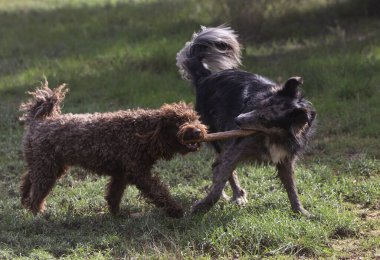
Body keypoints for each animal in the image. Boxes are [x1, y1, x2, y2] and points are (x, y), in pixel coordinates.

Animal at [177, 25, 316, 217]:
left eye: (264, 119)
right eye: (260, 105)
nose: (237, 120)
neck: (273, 137)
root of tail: (205, 78)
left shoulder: (285, 159)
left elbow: (292, 188)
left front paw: (300, 211)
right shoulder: (236, 149)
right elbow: (219, 182)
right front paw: (203, 206)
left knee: (217, 165)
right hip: (220, 138)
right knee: (219, 166)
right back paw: (237, 195)